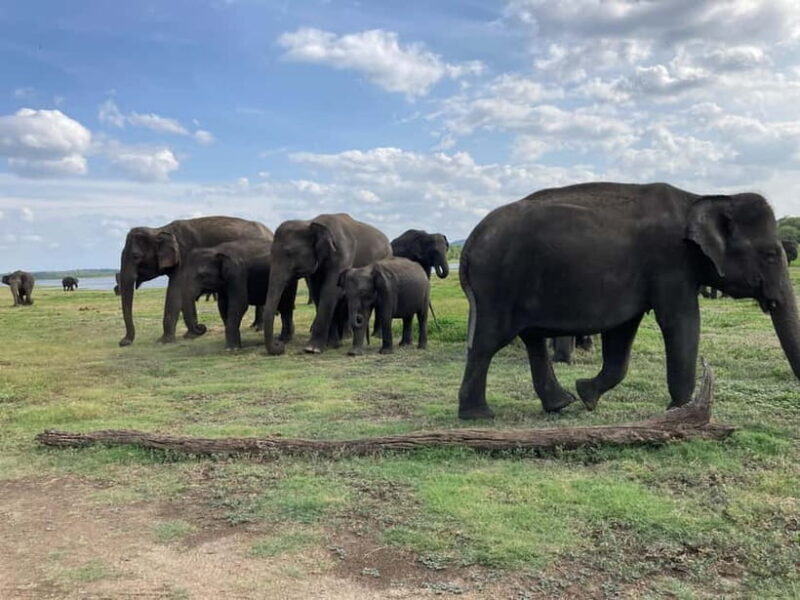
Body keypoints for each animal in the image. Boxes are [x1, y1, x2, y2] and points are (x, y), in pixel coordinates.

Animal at [118, 216, 273, 346]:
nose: (123, 342)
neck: (160, 230)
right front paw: (189, 336)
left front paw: (163, 341)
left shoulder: (184, 257)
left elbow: (175, 291)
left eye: (136, 256)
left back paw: (258, 328)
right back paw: (255, 326)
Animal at [263, 213, 392, 355]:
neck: (311, 223)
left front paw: (312, 349)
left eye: (289, 253)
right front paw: (332, 344)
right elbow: (317, 292)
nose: (279, 344)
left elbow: (330, 290)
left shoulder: (342, 254)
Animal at [457, 182, 800, 419]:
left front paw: (587, 395)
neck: (701, 197)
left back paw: (561, 403)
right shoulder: (670, 262)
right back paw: (478, 416)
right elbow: (682, 321)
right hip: (499, 283)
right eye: (770, 255)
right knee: (487, 342)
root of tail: (470, 240)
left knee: (531, 340)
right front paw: (679, 412)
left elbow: (622, 333)